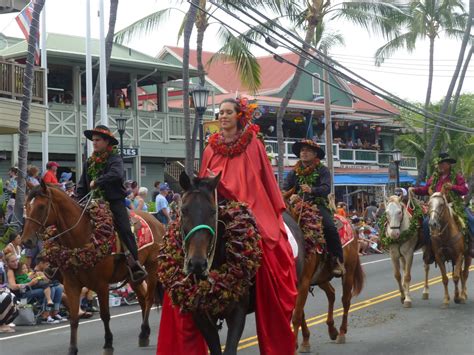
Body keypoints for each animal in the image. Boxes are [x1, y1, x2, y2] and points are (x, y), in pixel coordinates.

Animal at [20, 182, 165, 354]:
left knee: (149, 299)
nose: (26, 241)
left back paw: (143, 331)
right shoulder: (71, 286)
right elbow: (74, 318)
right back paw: (144, 334)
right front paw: (72, 349)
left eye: (41, 206)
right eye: (26, 207)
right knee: (142, 299)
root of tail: (156, 221)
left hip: (152, 267)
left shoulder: (101, 286)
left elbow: (105, 315)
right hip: (132, 276)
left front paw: (108, 344)